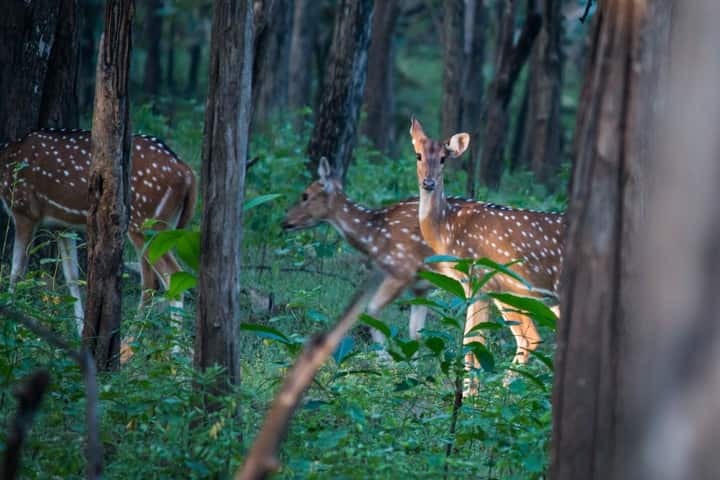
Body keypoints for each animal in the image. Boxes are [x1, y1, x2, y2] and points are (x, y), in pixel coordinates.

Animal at [0, 128, 197, 334]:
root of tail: (187, 173)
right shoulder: (62, 226)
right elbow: (72, 277)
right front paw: (80, 331)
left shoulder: (23, 210)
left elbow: (16, 272)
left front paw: (10, 321)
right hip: (165, 225)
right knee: (151, 282)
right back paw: (132, 338)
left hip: (144, 221)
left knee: (169, 275)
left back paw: (168, 342)